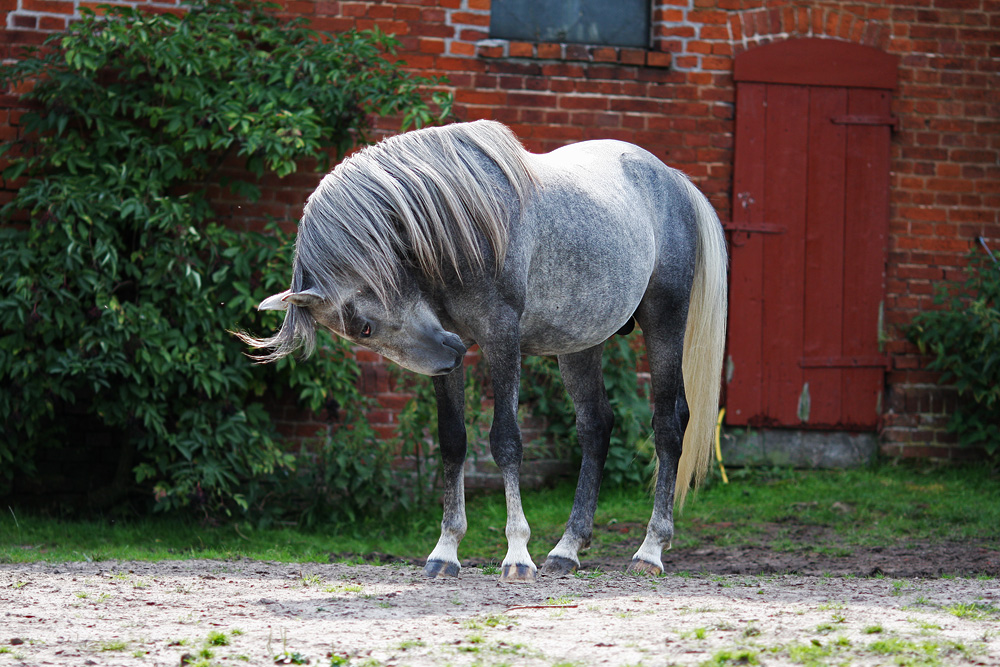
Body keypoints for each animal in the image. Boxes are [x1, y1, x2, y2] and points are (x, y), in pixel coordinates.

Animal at [242, 121, 728, 584]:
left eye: (364, 325)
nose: (452, 353)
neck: (460, 224)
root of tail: (673, 179)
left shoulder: (501, 338)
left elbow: (506, 441)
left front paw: (517, 555)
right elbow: (452, 441)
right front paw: (445, 551)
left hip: (665, 318)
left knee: (668, 424)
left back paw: (650, 550)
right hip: (579, 342)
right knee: (595, 426)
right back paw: (566, 550)